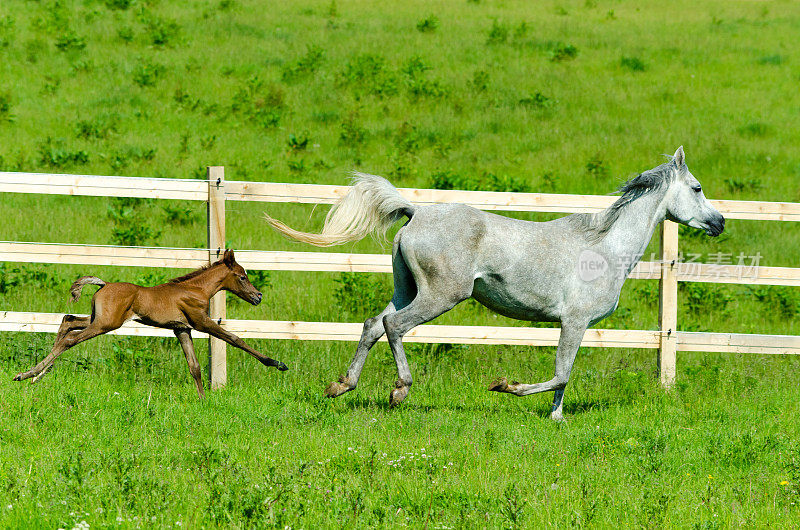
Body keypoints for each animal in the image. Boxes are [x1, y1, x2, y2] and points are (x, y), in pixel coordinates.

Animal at [12, 249, 288, 396]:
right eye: (242, 277)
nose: (258, 296)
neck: (196, 289)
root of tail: (104, 284)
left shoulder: (181, 329)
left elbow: (194, 366)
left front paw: (202, 400)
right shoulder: (201, 322)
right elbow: (235, 339)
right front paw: (278, 363)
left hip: (96, 319)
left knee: (67, 322)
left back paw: (34, 376)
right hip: (106, 324)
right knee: (70, 338)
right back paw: (27, 375)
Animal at [266, 146, 720, 418]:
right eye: (697, 188)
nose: (720, 222)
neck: (606, 247)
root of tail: (416, 211)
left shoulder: (575, 326)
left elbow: (565, 376)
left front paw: (556, 418)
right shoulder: (574, 322)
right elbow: (560, 374)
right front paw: (506, 387)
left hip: (406, 288)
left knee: (372, 325)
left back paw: (341, 386)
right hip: (441, 295)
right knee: (394, 326)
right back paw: (400, 390)